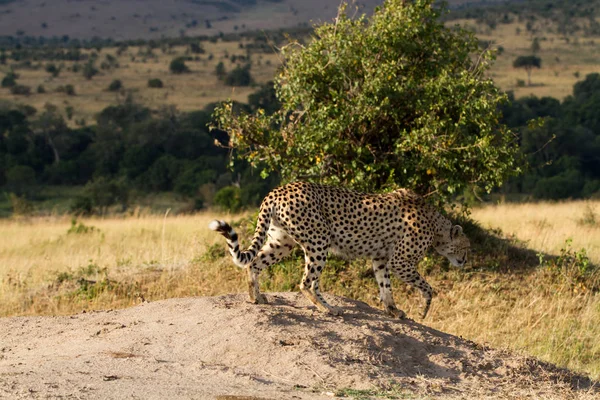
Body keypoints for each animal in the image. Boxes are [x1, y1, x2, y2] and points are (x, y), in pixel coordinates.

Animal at [210, 182, 468, 318]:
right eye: (465, 247)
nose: (464, 261)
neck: (437, 226)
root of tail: (279, 189)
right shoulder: (400, 262)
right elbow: (427, 287)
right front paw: (424, 309)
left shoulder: (380, 258)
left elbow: (385, 285)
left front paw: (393, 310)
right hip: (319, 240)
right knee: (306, 282)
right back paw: (325, 307)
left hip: (282, 242)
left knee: (254, 263)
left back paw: (257, 297)